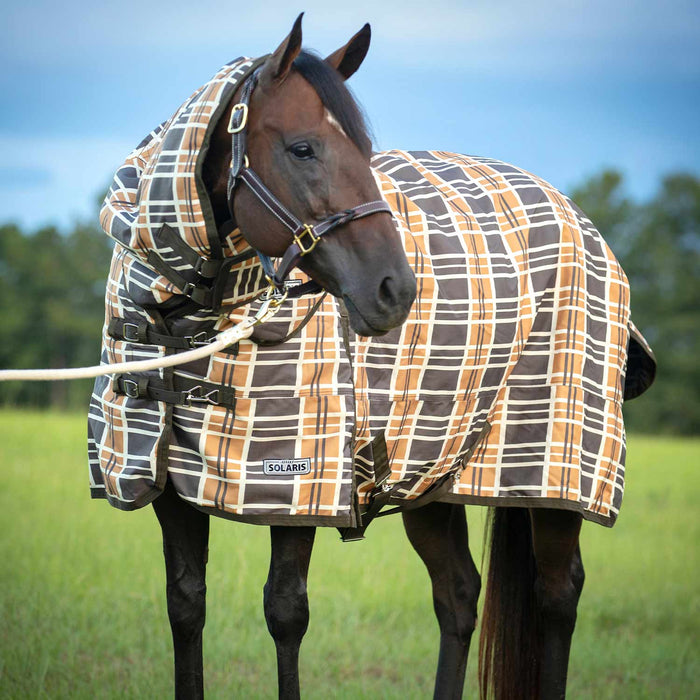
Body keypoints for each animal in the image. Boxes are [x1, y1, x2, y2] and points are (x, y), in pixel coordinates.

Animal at [86, 14, 655, 700]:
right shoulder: (166, 487)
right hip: (437, 474)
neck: (187, 319)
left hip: (550, 469)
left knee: (557, 594)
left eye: (362, 149)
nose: (396, 289)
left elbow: (285, 612)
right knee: (458, 595)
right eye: (303, 148)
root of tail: (578, 216)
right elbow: (185, 605)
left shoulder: (299, 485)